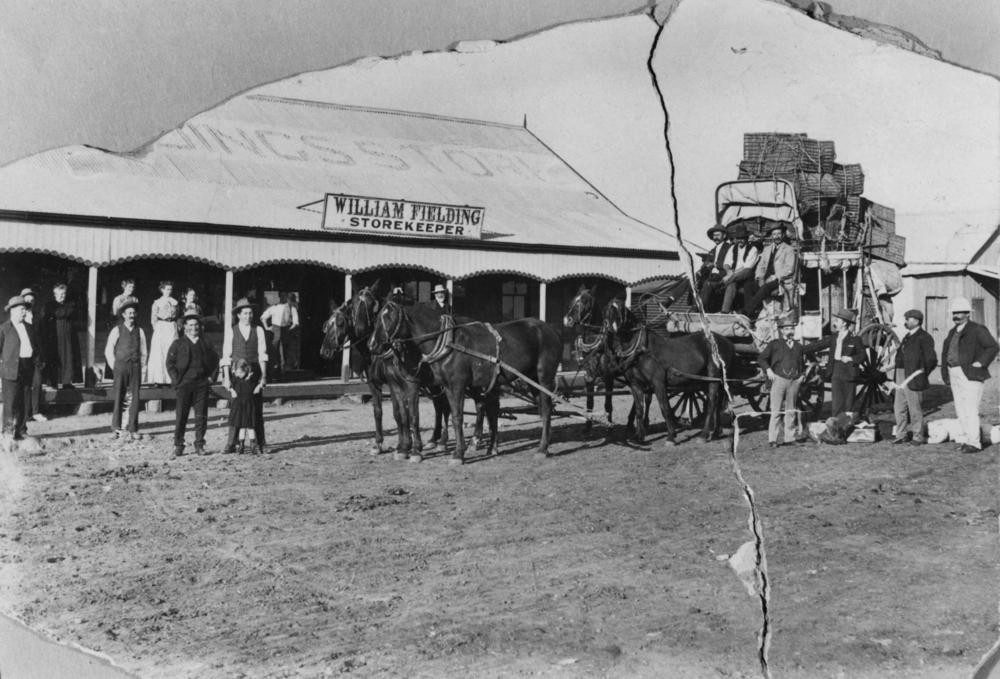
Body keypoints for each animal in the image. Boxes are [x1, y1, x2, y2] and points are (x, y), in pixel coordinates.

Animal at [320, 282, 450, 456]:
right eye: (327, 324)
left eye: (340, 323)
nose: (324, 351)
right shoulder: (375, 384)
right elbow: (380, 412)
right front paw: (380, 444)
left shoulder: (395, 382)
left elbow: (400, 413)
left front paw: (404, 445)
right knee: (439, 406)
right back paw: (434, 439)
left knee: (444, 407)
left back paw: (442, 441)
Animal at [374, 304, 564, 468]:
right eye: (378, 316)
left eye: (390, 317)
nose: (373, 344)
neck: (449, 343)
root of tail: (550, 329)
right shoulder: (445, 386)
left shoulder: (454, 385)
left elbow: (456, 417)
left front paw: (458, 453)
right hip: (530, 379)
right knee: (526, 409)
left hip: (544, 377)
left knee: (546, 409)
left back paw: (542, 449)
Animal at [600, 298, 736, 446]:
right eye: (607, 309)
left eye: (620, 309)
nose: (609, 327)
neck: (640, 351)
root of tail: (727, 342)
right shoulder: (635, 385)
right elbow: (639, 410)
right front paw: (639, 437)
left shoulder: (658, 383)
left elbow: (665, 408)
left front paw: (671, 436)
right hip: (709, 380)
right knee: (717, 404)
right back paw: (717, 432)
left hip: (713, 377)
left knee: (711, 404)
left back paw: (704, 435)